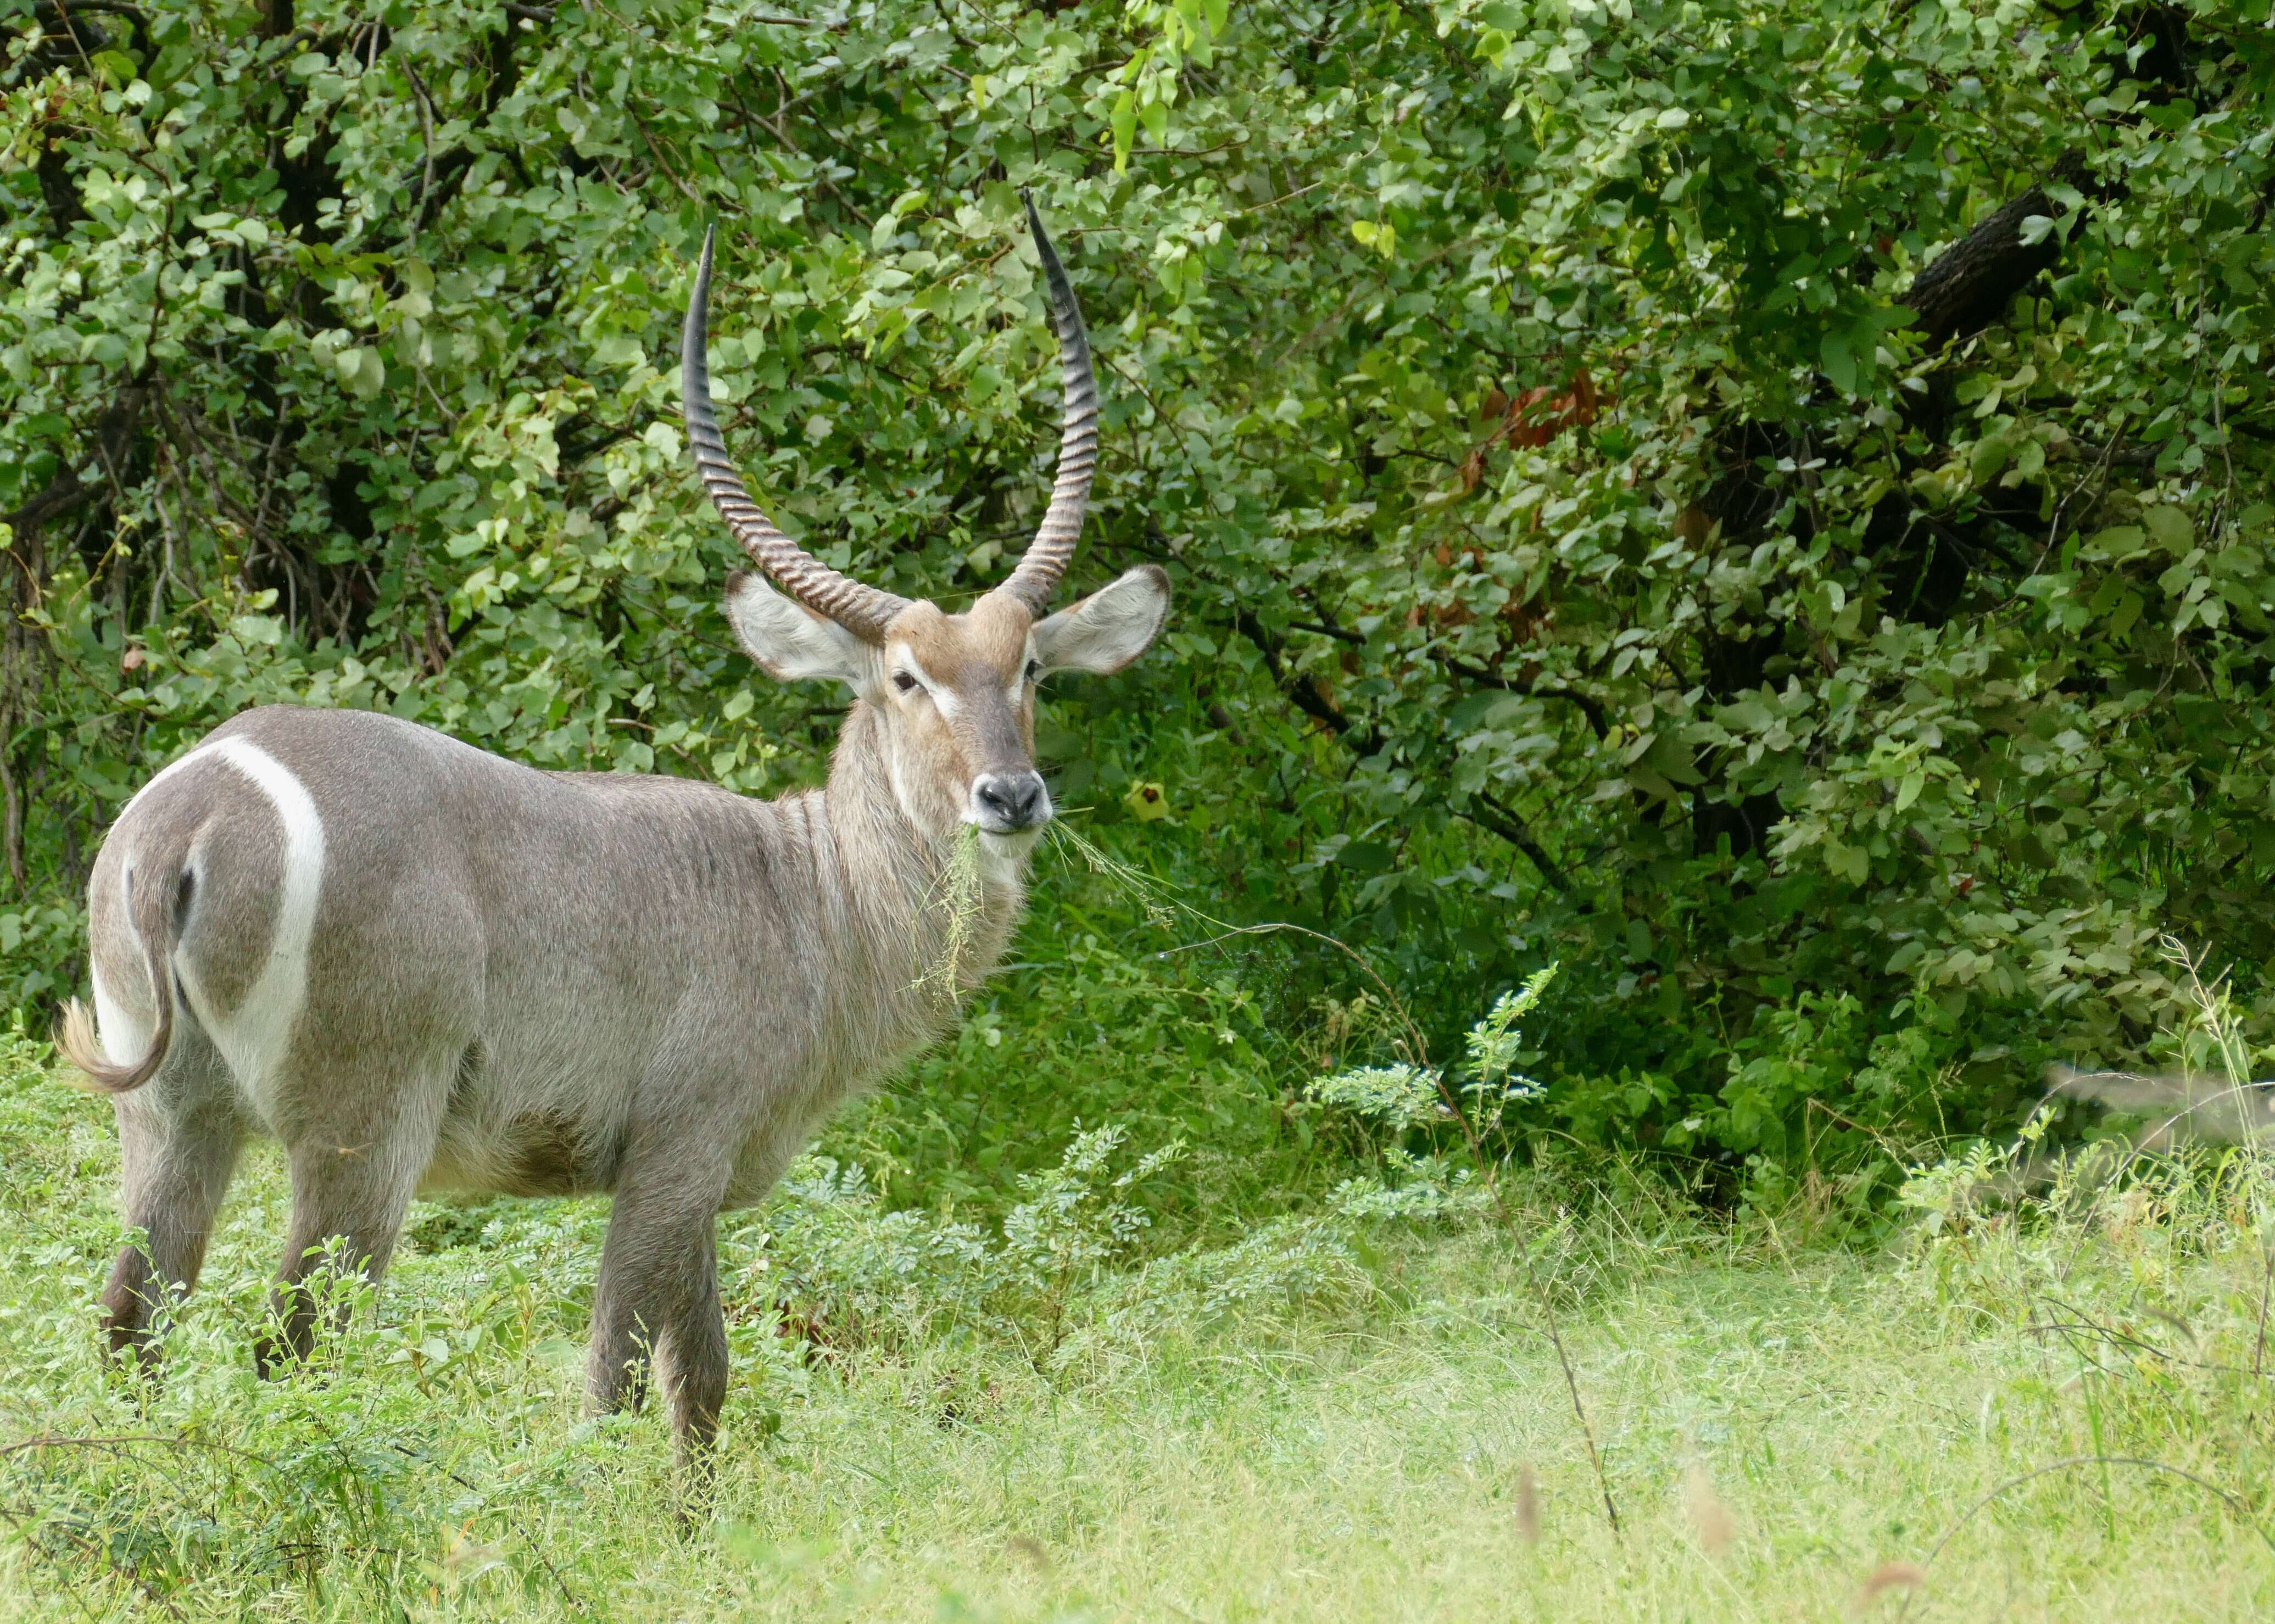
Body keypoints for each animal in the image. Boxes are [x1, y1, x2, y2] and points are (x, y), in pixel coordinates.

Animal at [62, 202, 1164, 1455]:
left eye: (1028, 667)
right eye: (903, 677)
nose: (1010, 797)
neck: (810, 893)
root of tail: (198, 807)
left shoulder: (698, 1186)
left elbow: (705, 1380)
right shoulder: (675, 1155)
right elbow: (619, 1378)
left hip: (171, 1116)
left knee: (132, 1324)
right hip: (361, 1133)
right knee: (292, 1344)